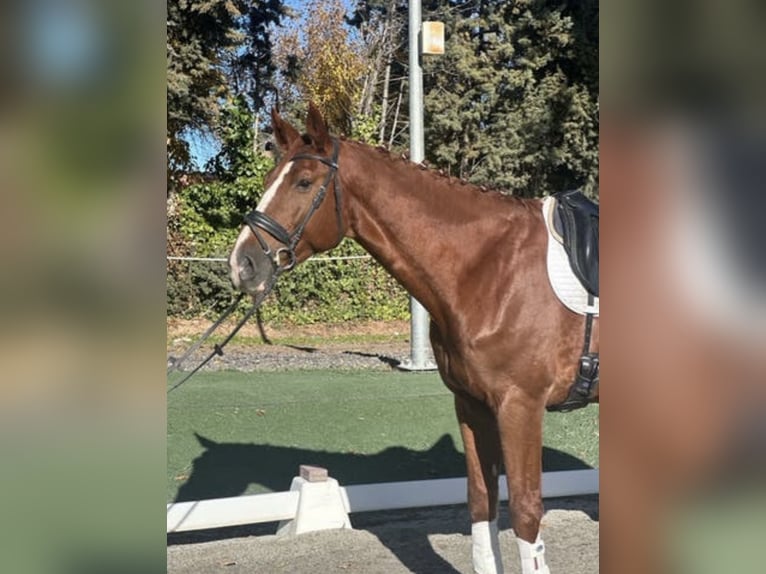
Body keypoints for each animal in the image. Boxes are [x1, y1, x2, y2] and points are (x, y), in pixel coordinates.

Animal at [228, 103, 599, 574]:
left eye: (304, 182)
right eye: (266, 180)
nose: (242, 264)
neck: (490, 268)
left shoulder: (521, 406)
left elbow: (526, 510)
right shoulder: (472, 405)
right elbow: (481, 502)